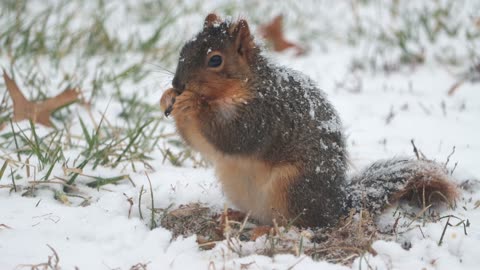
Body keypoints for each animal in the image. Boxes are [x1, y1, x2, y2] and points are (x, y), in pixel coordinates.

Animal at [160, 13, 458, 227]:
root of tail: (336, 206)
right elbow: (200, 143)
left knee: (297, 224)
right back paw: (234, 216)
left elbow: (235, 137)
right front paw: (167, 98)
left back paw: (269, 231)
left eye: (215, 60)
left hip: (292, 187)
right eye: (184, 48)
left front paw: (191, 103)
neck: (243, 87)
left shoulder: (266, 115)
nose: (177, 84)